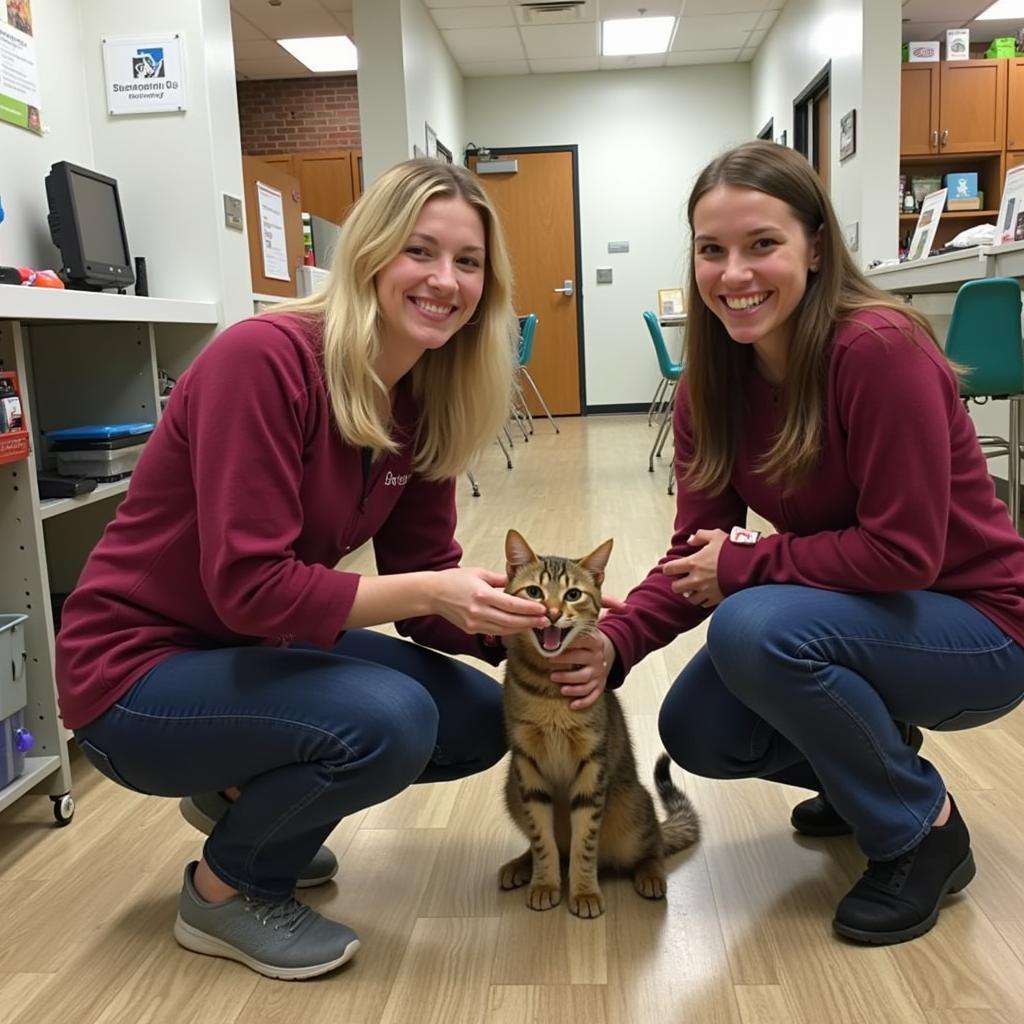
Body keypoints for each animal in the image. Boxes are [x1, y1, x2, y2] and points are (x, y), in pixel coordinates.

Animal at [499, 528, 700, 921]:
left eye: (573, 595)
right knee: (549, 845)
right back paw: (520, 865)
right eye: (534, 592)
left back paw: (651, 876)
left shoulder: (592, 767)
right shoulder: (527, 766)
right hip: (512, 790)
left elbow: (585, 845)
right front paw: (544, 884)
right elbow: (542, 840)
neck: (549, 687)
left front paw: (584, 892)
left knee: (652, 846)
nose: (552, 614)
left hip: (630, 810)